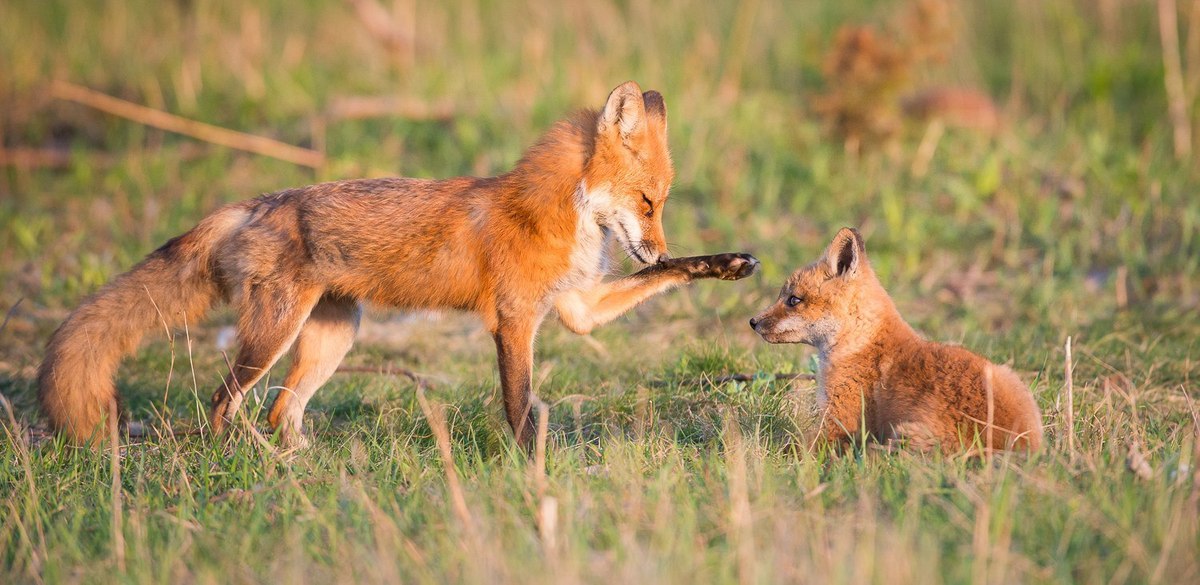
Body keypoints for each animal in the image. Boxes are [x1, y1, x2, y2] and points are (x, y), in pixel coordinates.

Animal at [46, 80, 763, 448]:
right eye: (647, 201)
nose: (657, 244)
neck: (557, 217)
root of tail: (258, 202)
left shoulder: (576, 308)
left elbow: (656, 281)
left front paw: (725, 263)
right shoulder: (514, 320)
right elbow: (519, 403)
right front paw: (527, 467)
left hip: (334, 336)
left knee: (282, 412)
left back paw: (297, 469)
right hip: (272, 335)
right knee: (224, 403)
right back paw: (240, 461)